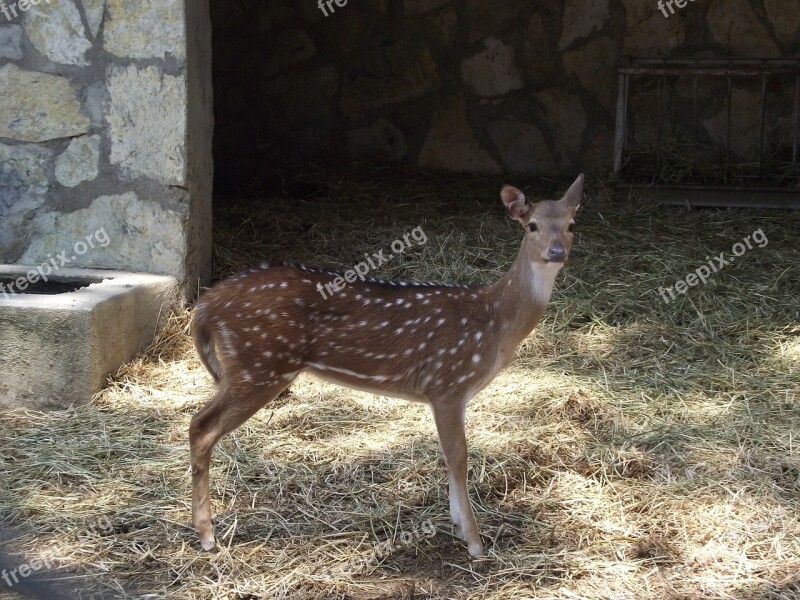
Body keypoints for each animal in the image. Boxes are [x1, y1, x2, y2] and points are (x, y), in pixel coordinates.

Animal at [191, 175, 584, 556]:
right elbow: (458, 456)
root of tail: (205, 306)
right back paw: (207, 536)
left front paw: (458, 526)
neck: (493, 323)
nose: (556, 252)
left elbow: (450, 457)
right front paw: (474, 542)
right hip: (259, 364)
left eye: (571, 224)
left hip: (248, 367)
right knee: (201, 426)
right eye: (531, 225)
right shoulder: (447, 384)